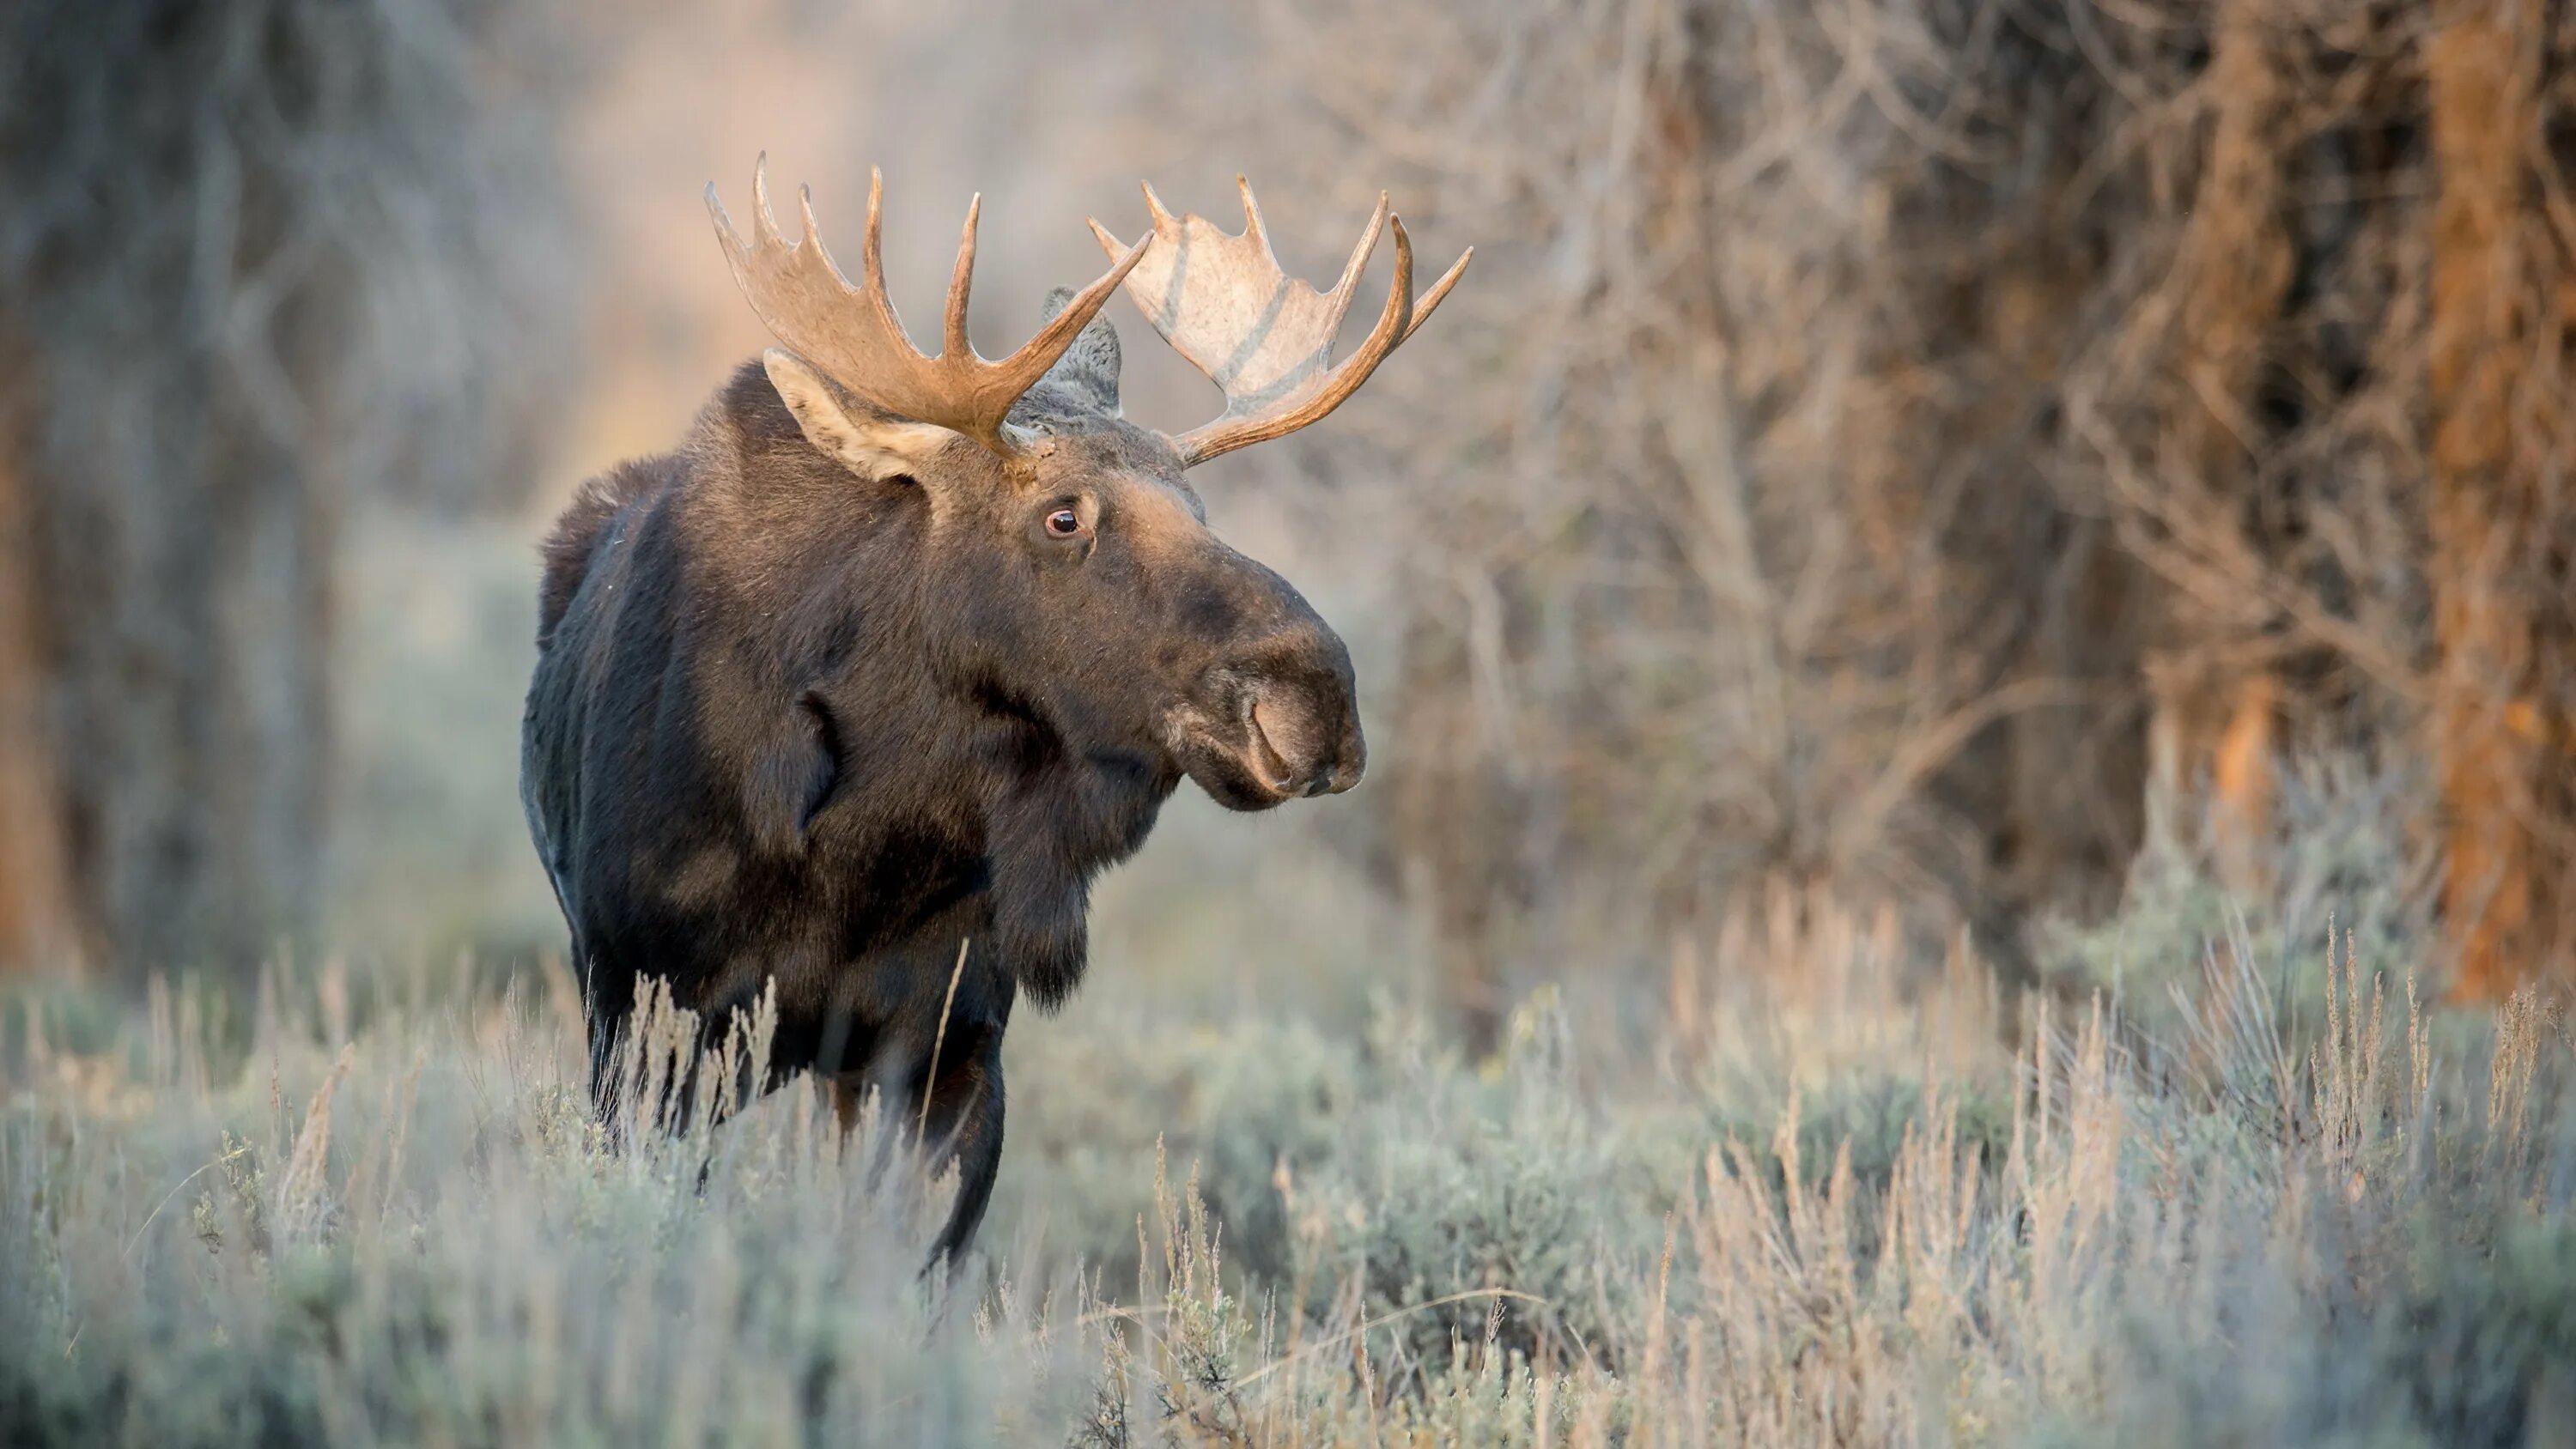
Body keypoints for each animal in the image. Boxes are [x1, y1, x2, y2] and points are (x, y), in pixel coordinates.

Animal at [518, 161, 1473, 1271]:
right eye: (1064, 515)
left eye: (1202, 513)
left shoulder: (950, 1042)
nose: (1315, 699)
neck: (857, 848)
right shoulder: (650, 1020)